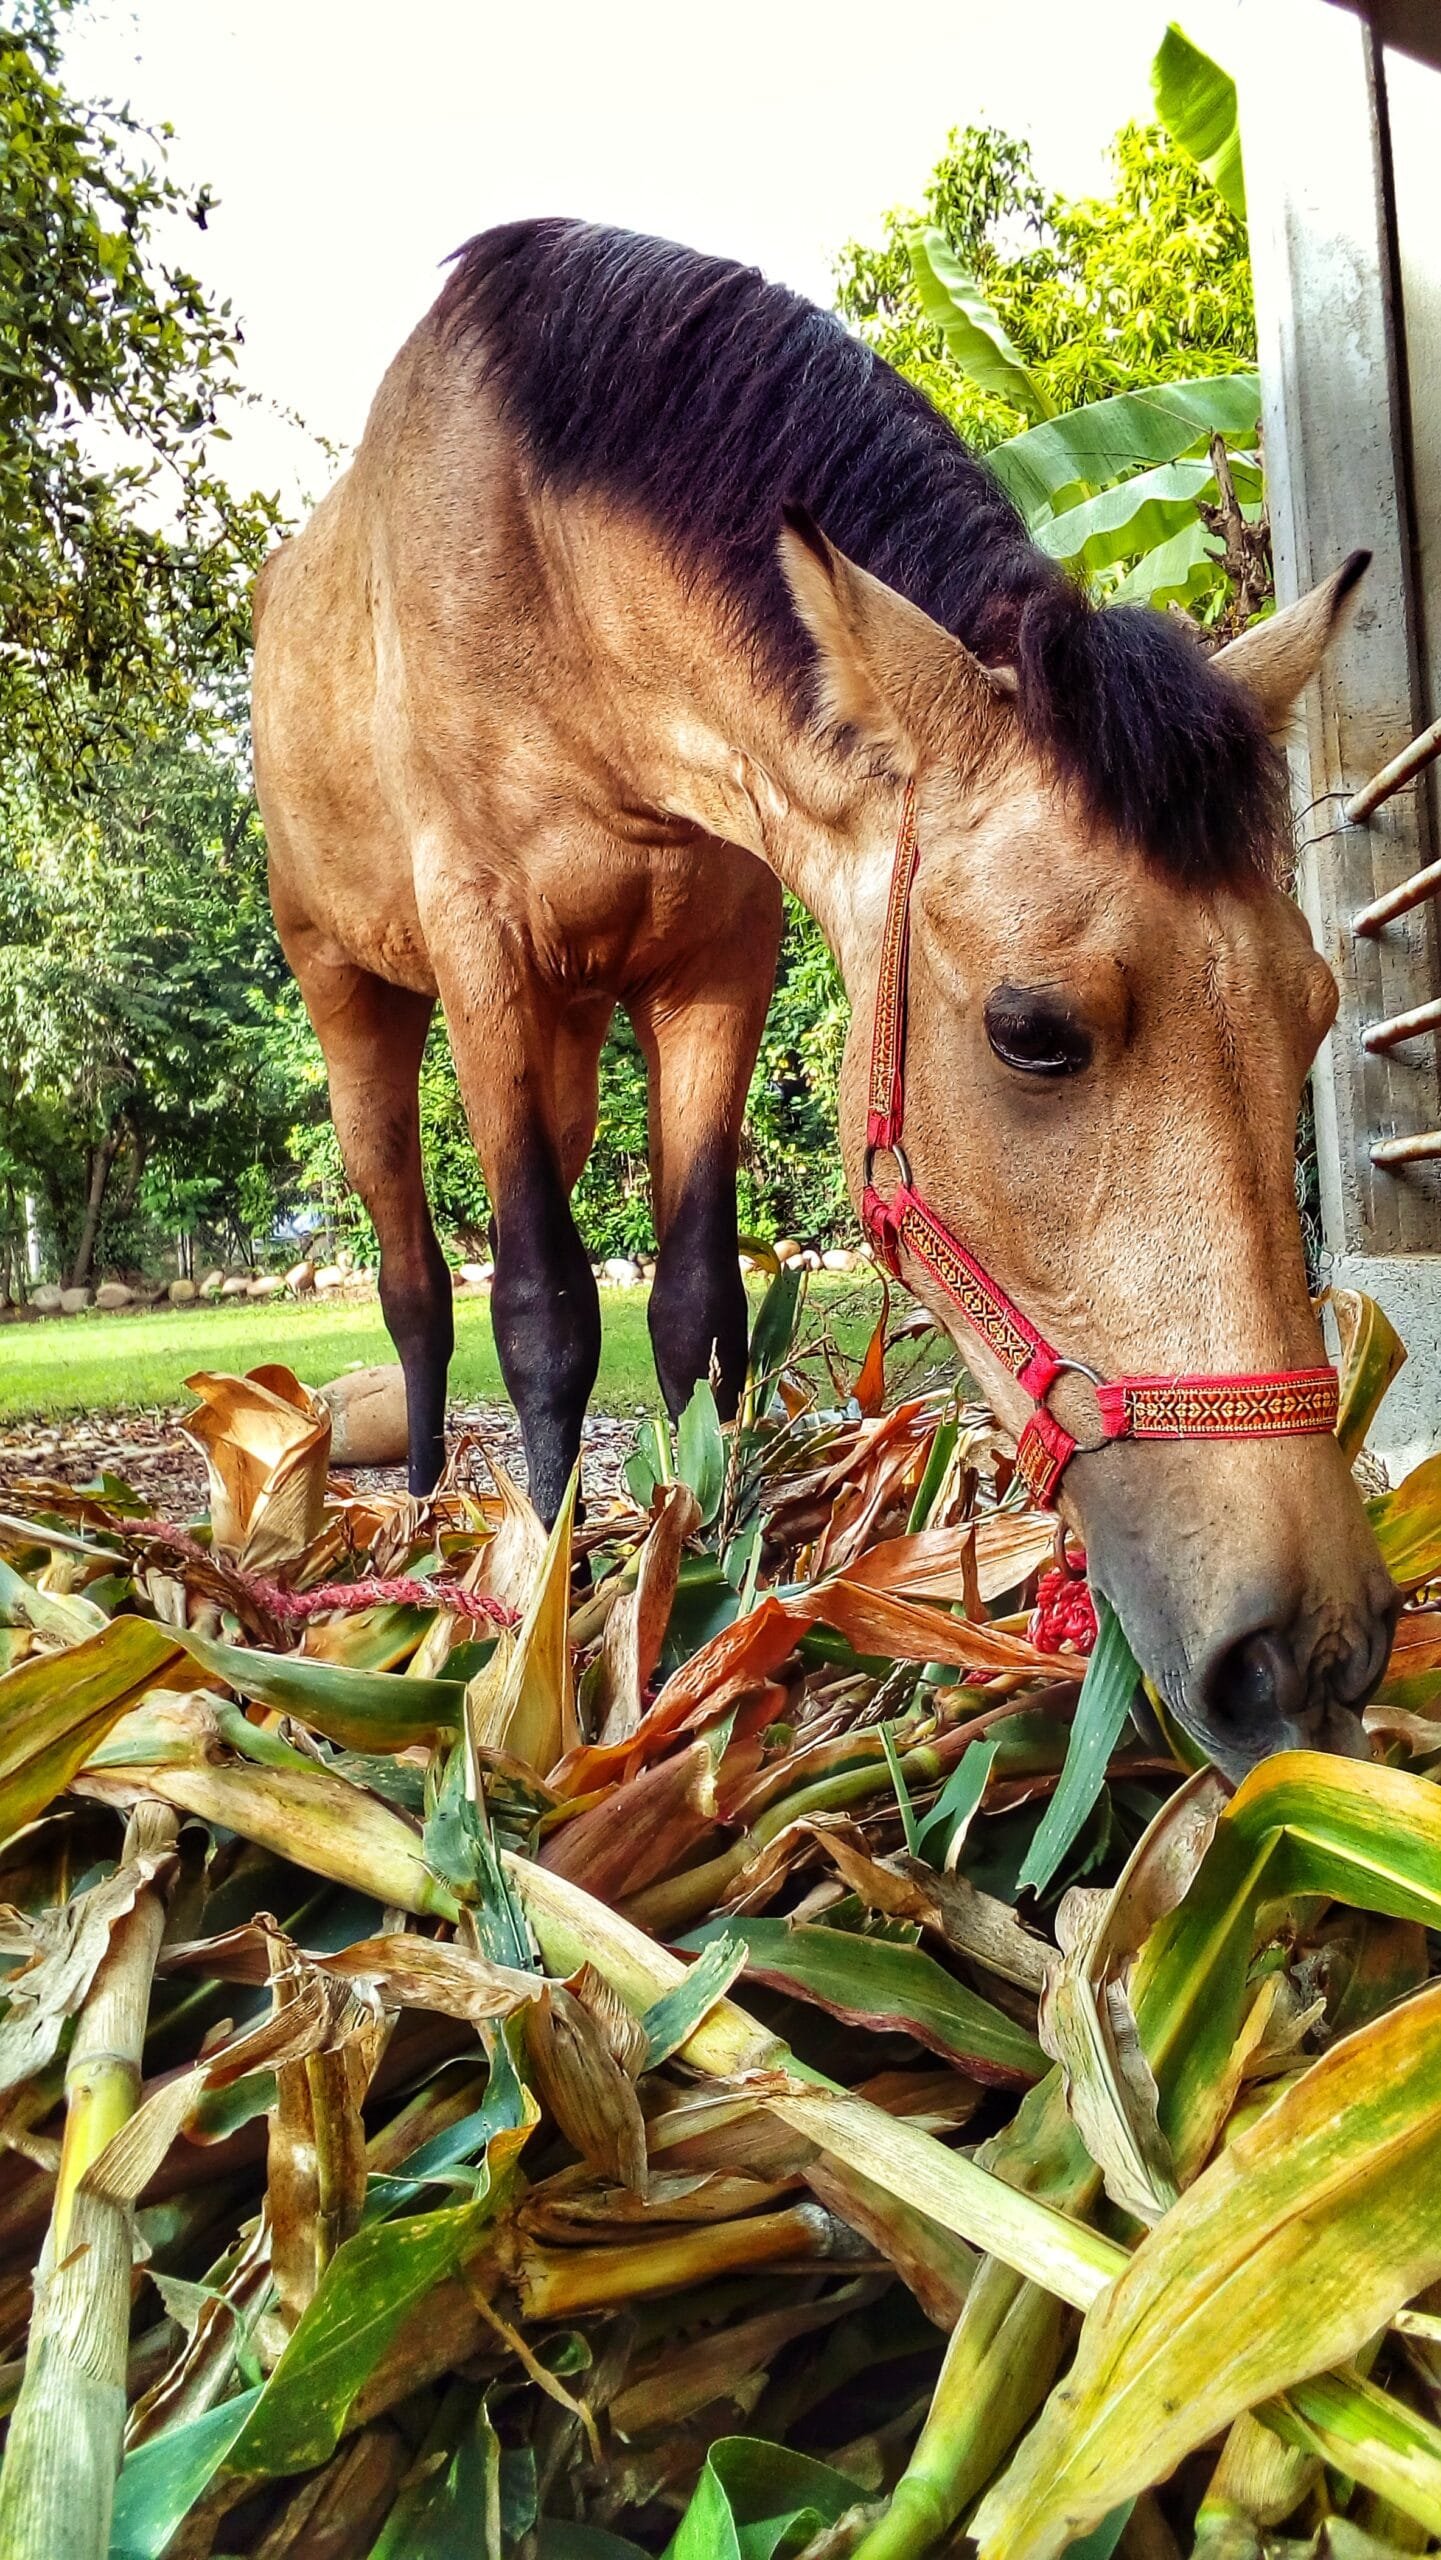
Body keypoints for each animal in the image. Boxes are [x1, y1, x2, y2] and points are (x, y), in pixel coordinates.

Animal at [253, 220, 1402, 1771]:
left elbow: (691, 1300)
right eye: (1032, 1034)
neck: (552, 580)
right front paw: (551, 1602)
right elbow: (545, 1308)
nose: (1309, 1654)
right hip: (356, 994)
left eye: (1317, 1011)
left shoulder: (714, 972)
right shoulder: (484, 950)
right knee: (415, 1274)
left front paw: (701, 1544)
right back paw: (431, 1509)